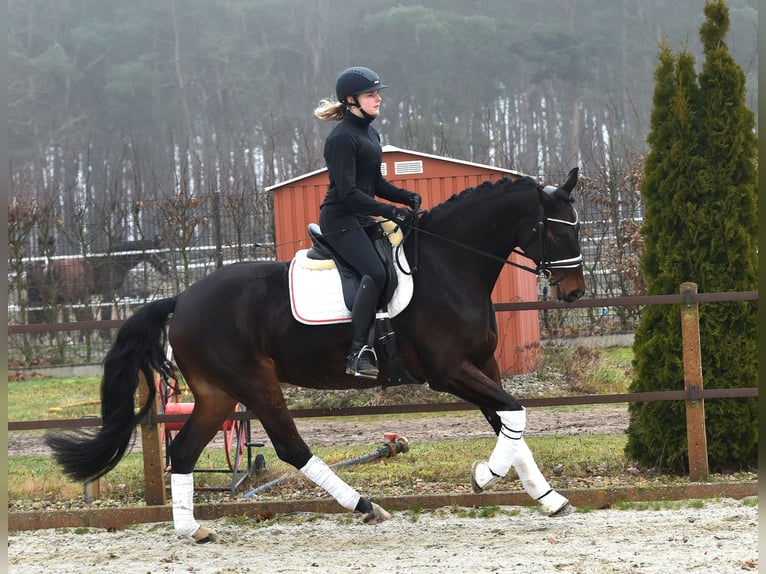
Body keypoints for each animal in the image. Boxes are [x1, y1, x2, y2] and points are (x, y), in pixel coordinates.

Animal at [27, 234, 172, 324]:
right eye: (156, 253)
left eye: (164, 251)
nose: (166, 268)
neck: (113, 261)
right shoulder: (107, 292)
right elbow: (105, 314)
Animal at [46, 168, 588, 544]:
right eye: (558, 231)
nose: (575, 292)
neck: (449, 263)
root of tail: (181, 299)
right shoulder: (450, 371)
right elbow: (514, 414)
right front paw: (483, 476)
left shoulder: (483, 366)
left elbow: (511, 424)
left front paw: (549, 498)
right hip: (255, 383)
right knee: (290, 448)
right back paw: (364, 505)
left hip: (218, 392)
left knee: (182, 451)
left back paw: (192, 530)